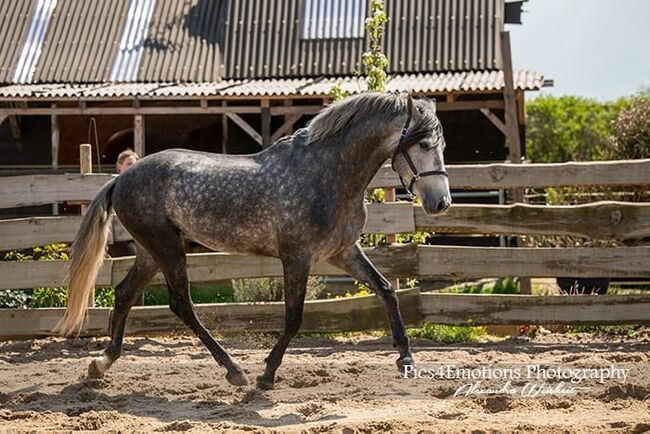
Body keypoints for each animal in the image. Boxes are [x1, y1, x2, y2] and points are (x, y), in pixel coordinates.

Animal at [58, 92, 448, 390]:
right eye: (424, 144)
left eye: (441, 144)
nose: (441, 203)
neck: (326, 174)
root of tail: (120, 179)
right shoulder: (297, 258)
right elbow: (293, 318)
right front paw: (266, 375)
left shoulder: (342, 252)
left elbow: (386, 289)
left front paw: (406, 359)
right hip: (167, 248)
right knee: (181, 304)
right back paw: (235, 371)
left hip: (151, 251)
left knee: (125, 294)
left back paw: (101, 364)